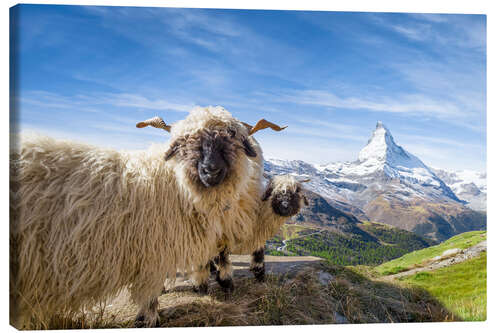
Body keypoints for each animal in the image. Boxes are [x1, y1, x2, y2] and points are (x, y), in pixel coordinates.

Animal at [9, 105, 286, 326]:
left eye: (231, 139)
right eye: (185, 143)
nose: (211, 170)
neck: (173, 184)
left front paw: (219, 282)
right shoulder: (154, 253)